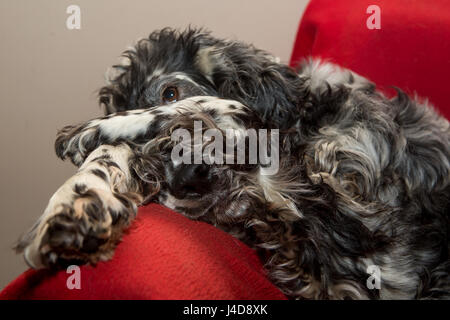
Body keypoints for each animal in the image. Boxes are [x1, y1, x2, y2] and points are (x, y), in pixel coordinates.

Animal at [15, 28, 448, 300]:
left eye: (171, 91)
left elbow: (208, 106)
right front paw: (74, 205)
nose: (190, 178)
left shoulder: (365, 247)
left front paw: (92, 131)